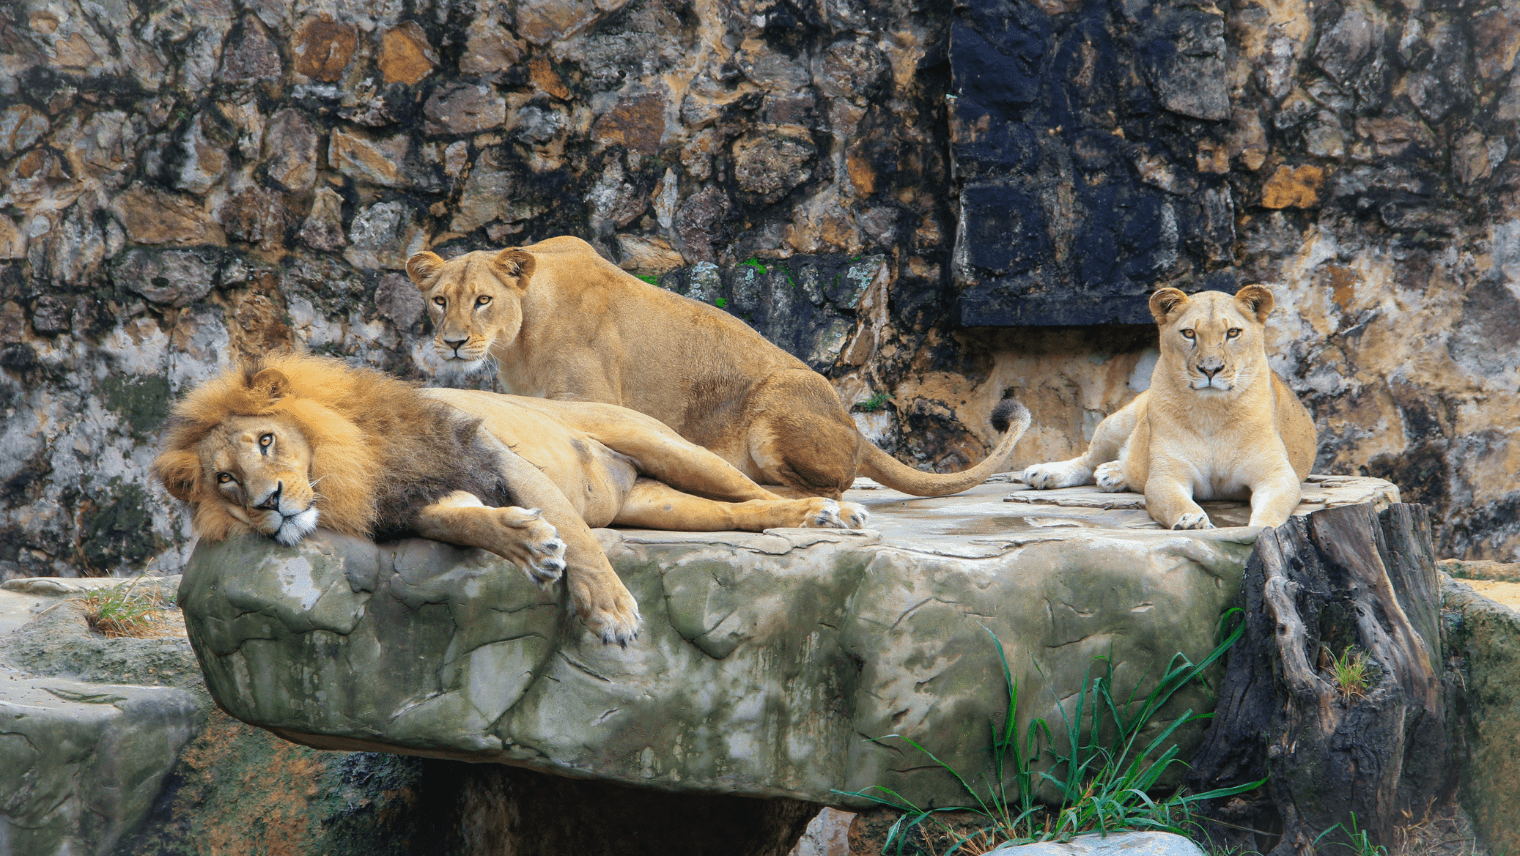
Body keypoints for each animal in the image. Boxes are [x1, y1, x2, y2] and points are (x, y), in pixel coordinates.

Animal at [151, 352, 887, 646]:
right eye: (224, 480)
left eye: (268, 440)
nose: (270, 501)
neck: (354, 466)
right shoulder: (422, 501)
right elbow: (469, 526)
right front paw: (527, 544)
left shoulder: (496, 456)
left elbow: (578, 537)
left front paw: (610, 610)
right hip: (663, 504)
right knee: (746, 511)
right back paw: (808, 515)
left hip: (667, 446)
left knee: (754, 487)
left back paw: (832, 510)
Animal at [405, 236, 1030, 499]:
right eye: (439, 301)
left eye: (483, 300)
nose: (453, 344)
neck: (519, 336)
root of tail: (853, 426)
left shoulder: (590, 397)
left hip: (776, 405)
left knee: (836, 485)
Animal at [1020, 285, 1316, 530]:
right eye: (1189, 333)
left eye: (1232, 333)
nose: (1210, 369)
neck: (1210, 411)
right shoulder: (1167, 475)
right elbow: (1176, 501)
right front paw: (1192, 521)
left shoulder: (1276, 473)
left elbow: (1274, 508)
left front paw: (1260, 529)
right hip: (1115, 424)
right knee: (1085, 460)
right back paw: (1043, 473)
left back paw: (1112, 474)